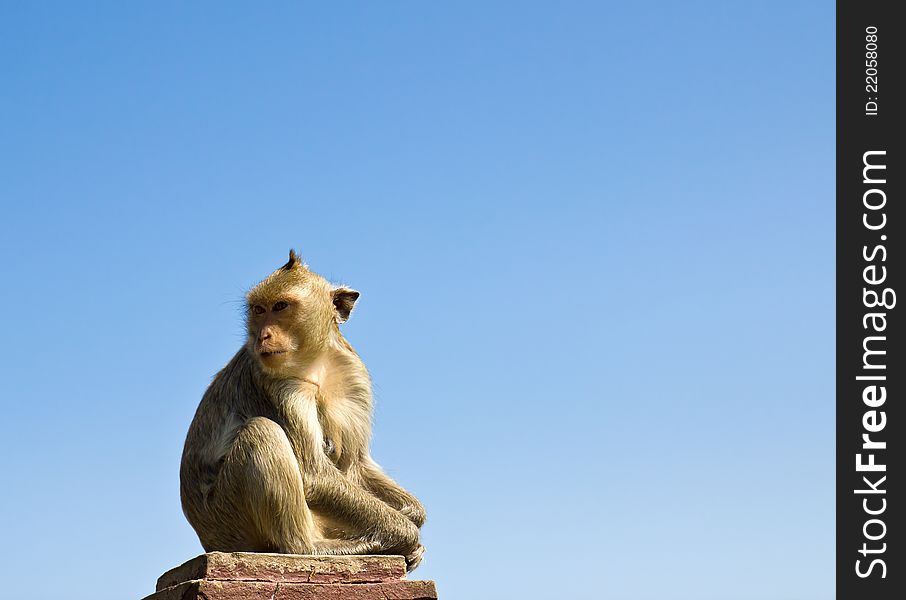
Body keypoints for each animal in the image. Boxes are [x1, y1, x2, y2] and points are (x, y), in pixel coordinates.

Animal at [182, 250, 430, 572]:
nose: (262, 336)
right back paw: (313, 547)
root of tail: (209, 540)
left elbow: (356, 464)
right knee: (262, 431)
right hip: (228, 517)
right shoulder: (279, 386)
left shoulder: (355, 376)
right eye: (258, 310)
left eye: (280, 306)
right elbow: (316, 475)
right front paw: (407, 535)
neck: (315, 362)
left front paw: (413, 515)